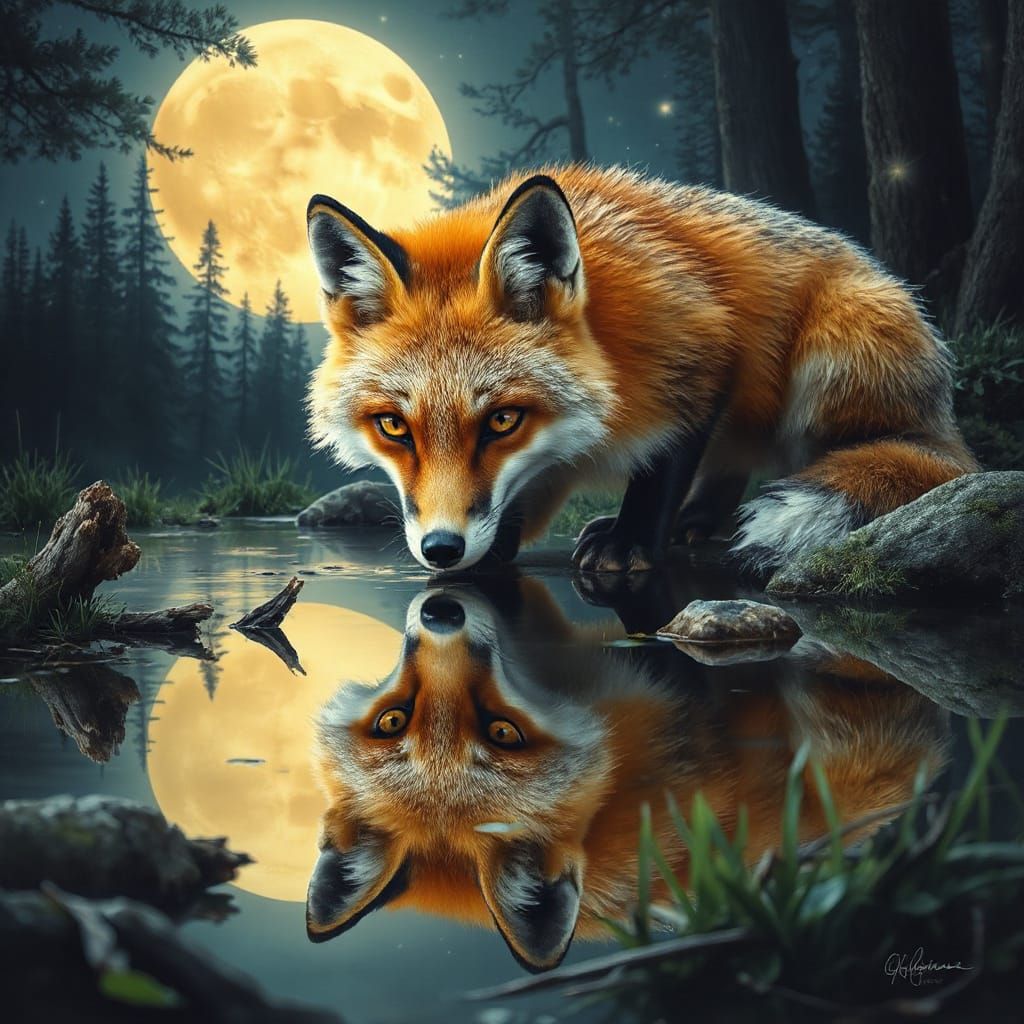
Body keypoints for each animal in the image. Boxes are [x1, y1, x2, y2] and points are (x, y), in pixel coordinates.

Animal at [305, 165, 977, 574]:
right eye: (394, 427)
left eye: (502, 420)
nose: (443, 550)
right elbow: (518, 495)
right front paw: (495, 552)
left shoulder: (706, 349)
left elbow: (661, 465)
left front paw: (631, 541)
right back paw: (699, 522)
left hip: (828, 364)